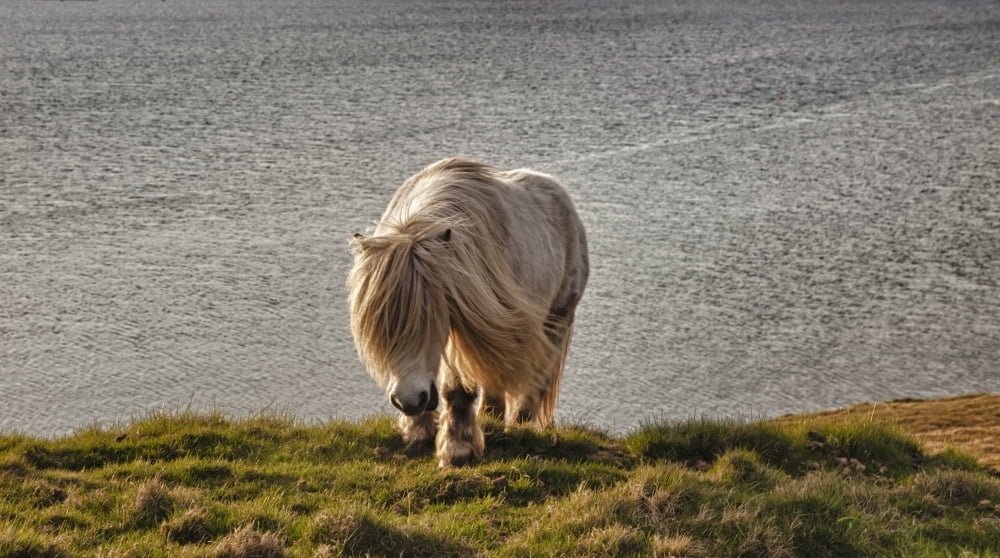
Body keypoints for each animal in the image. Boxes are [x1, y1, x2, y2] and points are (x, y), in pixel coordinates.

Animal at [348, 157, 589, 467]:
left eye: (432, 319)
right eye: (382, 326)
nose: (409, 401)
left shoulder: (465, 324)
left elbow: (456, 390)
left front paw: (456, 450)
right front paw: (418, 431)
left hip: (556, 318)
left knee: (536, 377)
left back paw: (519, 426)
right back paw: (491, 419)